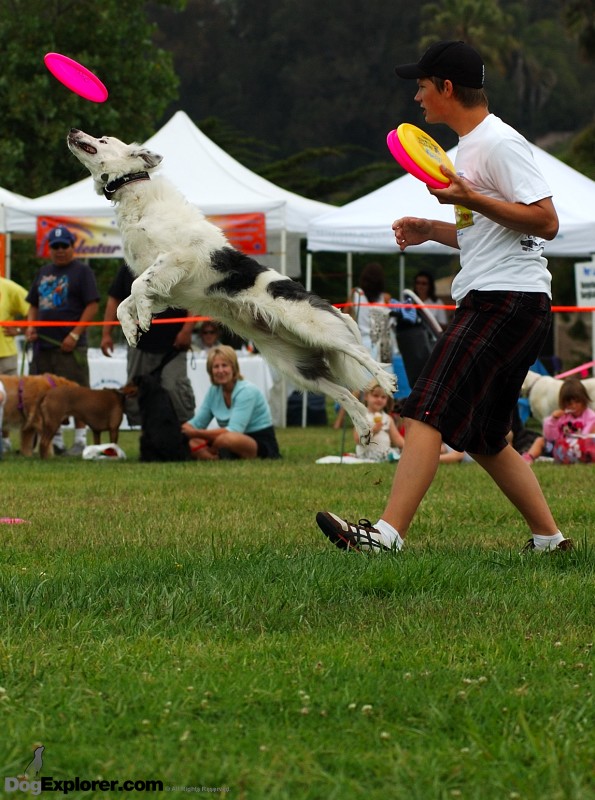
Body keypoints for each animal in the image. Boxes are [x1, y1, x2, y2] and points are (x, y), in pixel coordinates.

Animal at [67, 131, 396, 444]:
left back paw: (386, 380)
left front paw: (144, 319)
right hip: (297, 367)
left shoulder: (176, 258)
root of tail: (327, 305)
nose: (73, 131)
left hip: (315, 330)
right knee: (346, 394)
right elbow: (126, 301)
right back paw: (365, 429)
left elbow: (137, 286)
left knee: (359, 353)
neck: (135, 197)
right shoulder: (165, 289)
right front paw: (131, 330)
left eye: (102, 139)